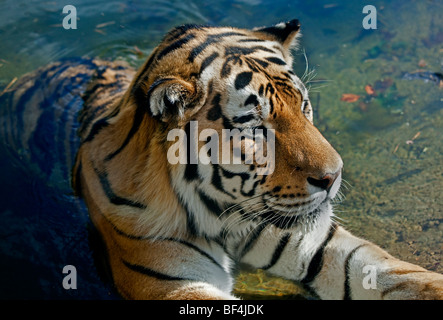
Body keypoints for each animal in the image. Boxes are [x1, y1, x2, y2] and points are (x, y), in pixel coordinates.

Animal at [0, 20, 443, 300]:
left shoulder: (314, 241)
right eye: (255, 126)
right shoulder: (172, 281)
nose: (333, 176)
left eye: (303, 105)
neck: (224, 215)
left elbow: (399, 274)